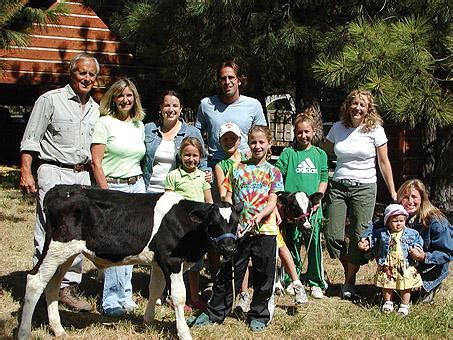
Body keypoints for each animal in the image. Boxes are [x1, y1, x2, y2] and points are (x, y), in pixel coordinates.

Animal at [18, 186, 242, 340]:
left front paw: (148, 322)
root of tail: (60, 189)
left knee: (53, 285)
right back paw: (23, 333)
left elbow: (155, 289)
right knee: (35, 281)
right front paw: (184, 333)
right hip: (57, 247)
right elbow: (178, 296)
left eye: (236, 222)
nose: (230, 249)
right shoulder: (172, 261)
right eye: (212, 223)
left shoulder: (158, 261)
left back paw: (58, 330)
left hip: (66, 254)